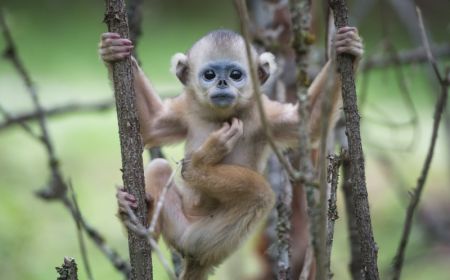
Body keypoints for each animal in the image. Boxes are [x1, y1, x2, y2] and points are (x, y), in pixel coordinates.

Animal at [98, 26, 362, 280]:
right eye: (210, 75)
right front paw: (114, 52)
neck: (221, 116)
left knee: (259, 193)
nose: (223, 83)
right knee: (160, 167)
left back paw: (198, 167)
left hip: (201, 238)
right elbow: (152, 124)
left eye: (235, 75)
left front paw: (343, 49)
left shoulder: (263, 113)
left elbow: (307, 125)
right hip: (181, 227)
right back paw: (136, 218)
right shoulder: (187, 108)